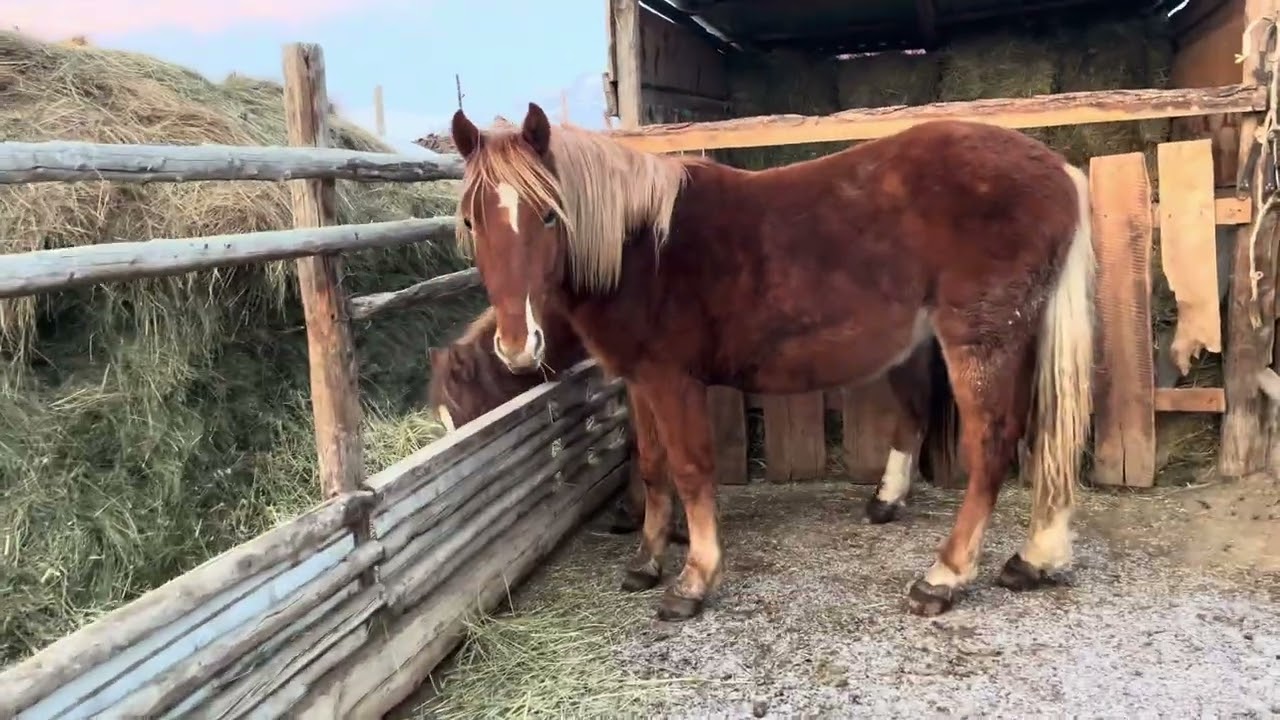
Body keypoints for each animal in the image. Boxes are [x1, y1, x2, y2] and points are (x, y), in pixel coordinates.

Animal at [448, 103, 1093, 621]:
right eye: (472, 220)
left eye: (548, 214)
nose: (517, 345)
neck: (641, 250)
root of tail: (1059, 171)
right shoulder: (639, 381)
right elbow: (652, 466)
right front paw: (647, 561)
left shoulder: (671, 381)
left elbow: (690, 470)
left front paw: (693, 581)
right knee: (1040, 435)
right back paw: (1030, 557)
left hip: (981, 342)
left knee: (993, 445)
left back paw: (945, 578)